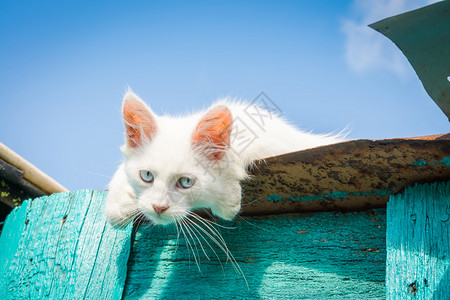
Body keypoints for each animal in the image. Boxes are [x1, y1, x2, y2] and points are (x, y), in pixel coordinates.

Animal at [104, 89, 344, 227]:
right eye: (146, 176)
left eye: (186, 182)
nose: (158, 208)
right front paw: (117, 206)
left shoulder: (269, 138)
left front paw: (227, 198)